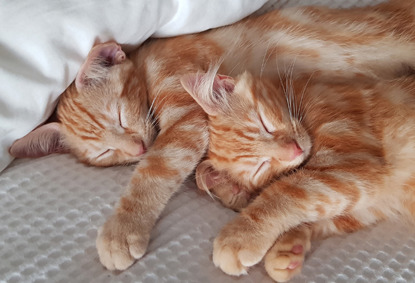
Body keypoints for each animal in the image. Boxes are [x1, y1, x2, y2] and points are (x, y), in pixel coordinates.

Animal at [182, 70, 415, 282]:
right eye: (261, 166)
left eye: (265, 124)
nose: (294, 150)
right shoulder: (367, 201)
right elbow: (319, 213)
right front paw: (288, 249)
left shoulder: (354, 164)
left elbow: (284, 193)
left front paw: (241, 236)